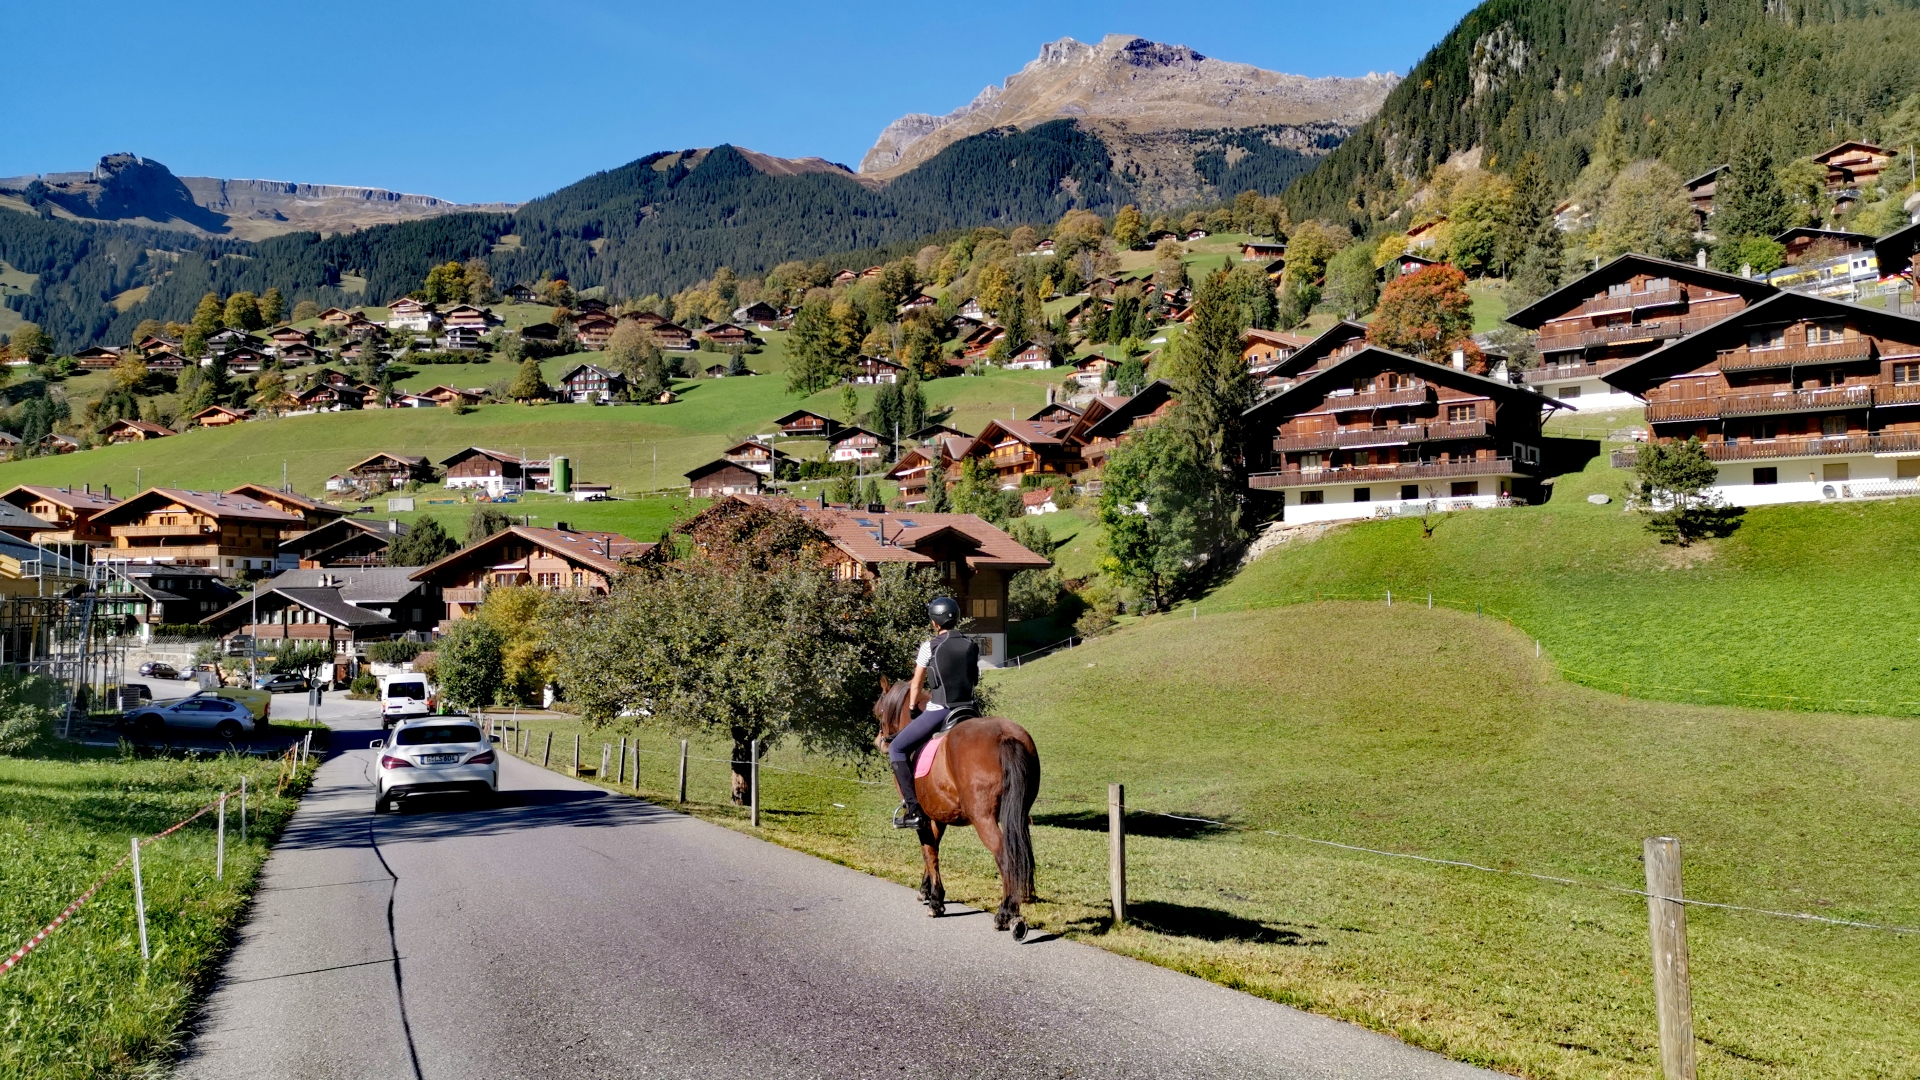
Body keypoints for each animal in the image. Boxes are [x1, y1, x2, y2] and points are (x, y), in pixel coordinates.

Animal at [879, 676, 1044, 937]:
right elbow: (932, 849)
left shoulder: (922, 816)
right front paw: (927, 891)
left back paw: (1005, 914)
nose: (882, 742)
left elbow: (928, 851)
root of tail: (1004, 735)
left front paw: (936, 901)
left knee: (1005, 856)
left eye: (880, 711)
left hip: (983, 818)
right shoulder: (939, 815)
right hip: (1018, 814)